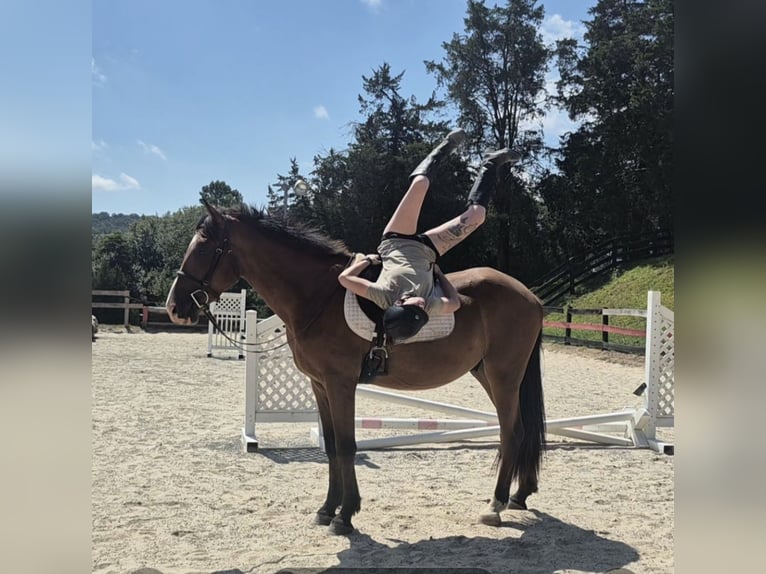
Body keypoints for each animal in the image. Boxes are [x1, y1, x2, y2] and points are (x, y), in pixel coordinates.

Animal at [165, 199, 546, 535]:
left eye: (203, 249)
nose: (174, 306)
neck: (319, 296)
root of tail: (530, 297)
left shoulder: (341, 384)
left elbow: (348, 445)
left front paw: (345, 516)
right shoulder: (320, 385)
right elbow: (333, 446)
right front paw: (326, 509)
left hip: (503, 376)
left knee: (512, 433)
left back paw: (495, 506)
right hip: (489, 375)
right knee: (522, 430)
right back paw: (518, 495)